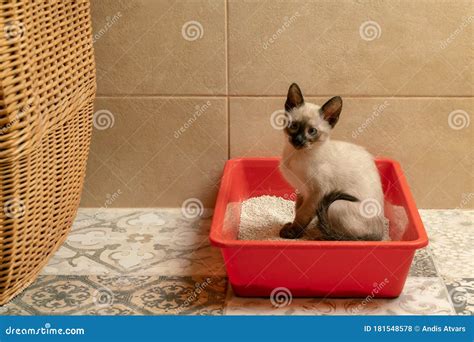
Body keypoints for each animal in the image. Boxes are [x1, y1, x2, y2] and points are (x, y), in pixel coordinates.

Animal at [278, 83, 386, 240]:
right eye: (294, 126)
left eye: (312, 131)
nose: (298, 140)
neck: (297, 154)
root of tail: (380, 234)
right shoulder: (302, 190)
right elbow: (297, 209)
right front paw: (297, 231)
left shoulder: (317, 194)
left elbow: (302, 215)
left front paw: (292, 233)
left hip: (335, 206)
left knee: (346, 238)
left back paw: (322, 236)